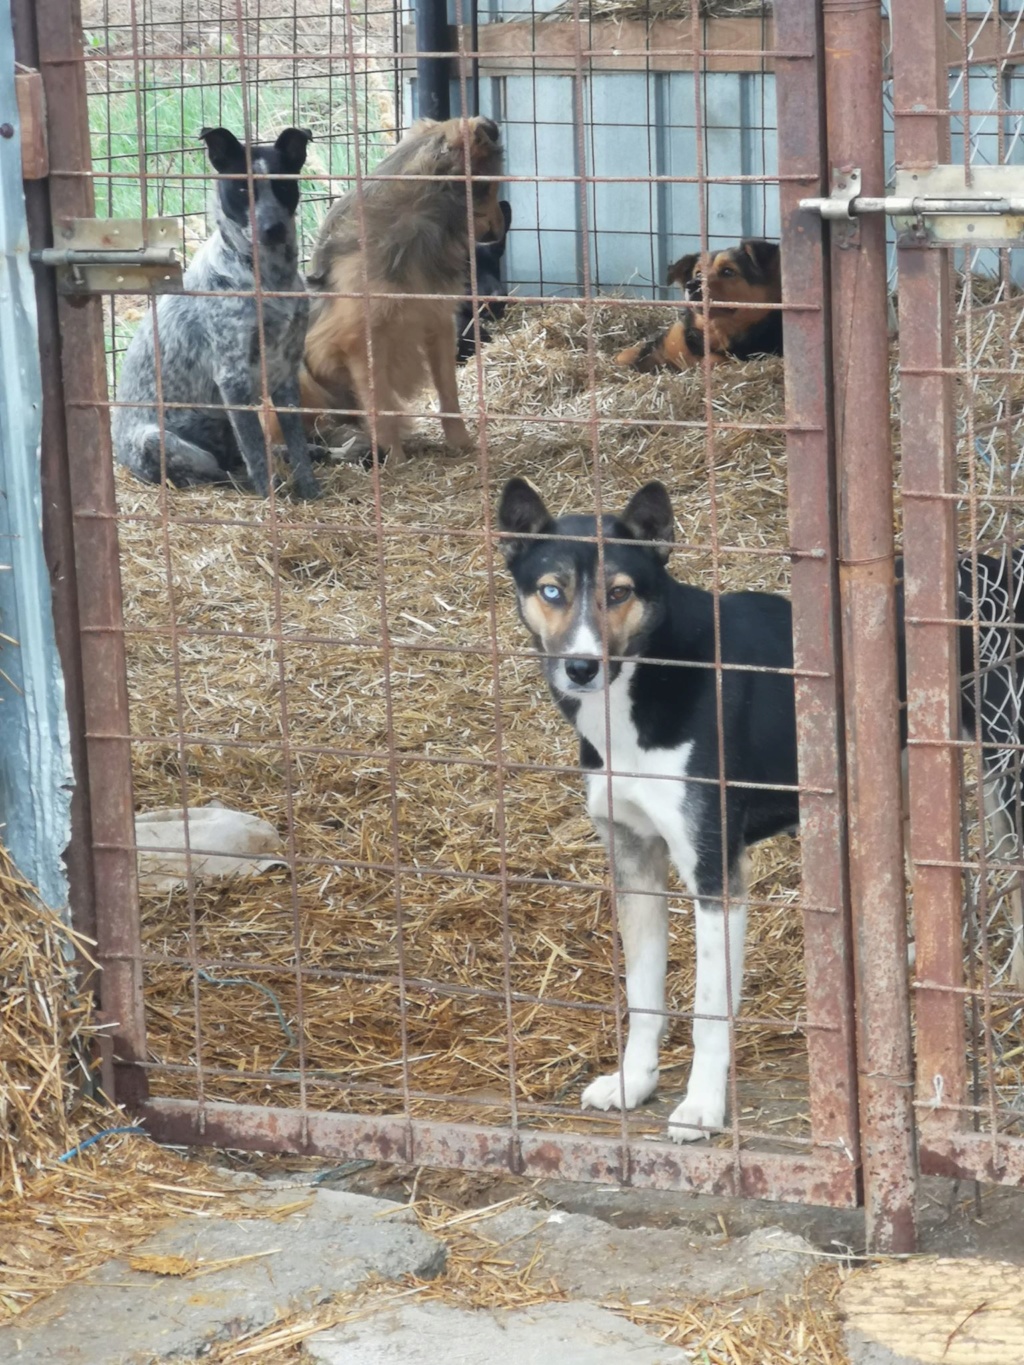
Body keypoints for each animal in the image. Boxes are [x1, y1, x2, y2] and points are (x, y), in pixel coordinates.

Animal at [112, 126, 322, 502]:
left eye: (283, 185)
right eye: (241, 189)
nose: (272, 228)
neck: (270, 277)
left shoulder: (286, 371)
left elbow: (294, 443)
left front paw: (309, 489)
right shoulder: (232, 377)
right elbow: (256, 453)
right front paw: (272, 498)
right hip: (158, 440)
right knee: (217, 473)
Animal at [296, 114, 505, 464]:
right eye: (488, 186)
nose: (501, 231)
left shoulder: (439, 323)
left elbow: (448, 393)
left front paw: (461, 443)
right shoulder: (361, 342)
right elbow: (380, 406)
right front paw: (395, 459)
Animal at [617, 237, 786, 371]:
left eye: (728, 271)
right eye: (698, 273)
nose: (691, 285)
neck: (715, 332)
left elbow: (713, 361)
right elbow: (626, 355)